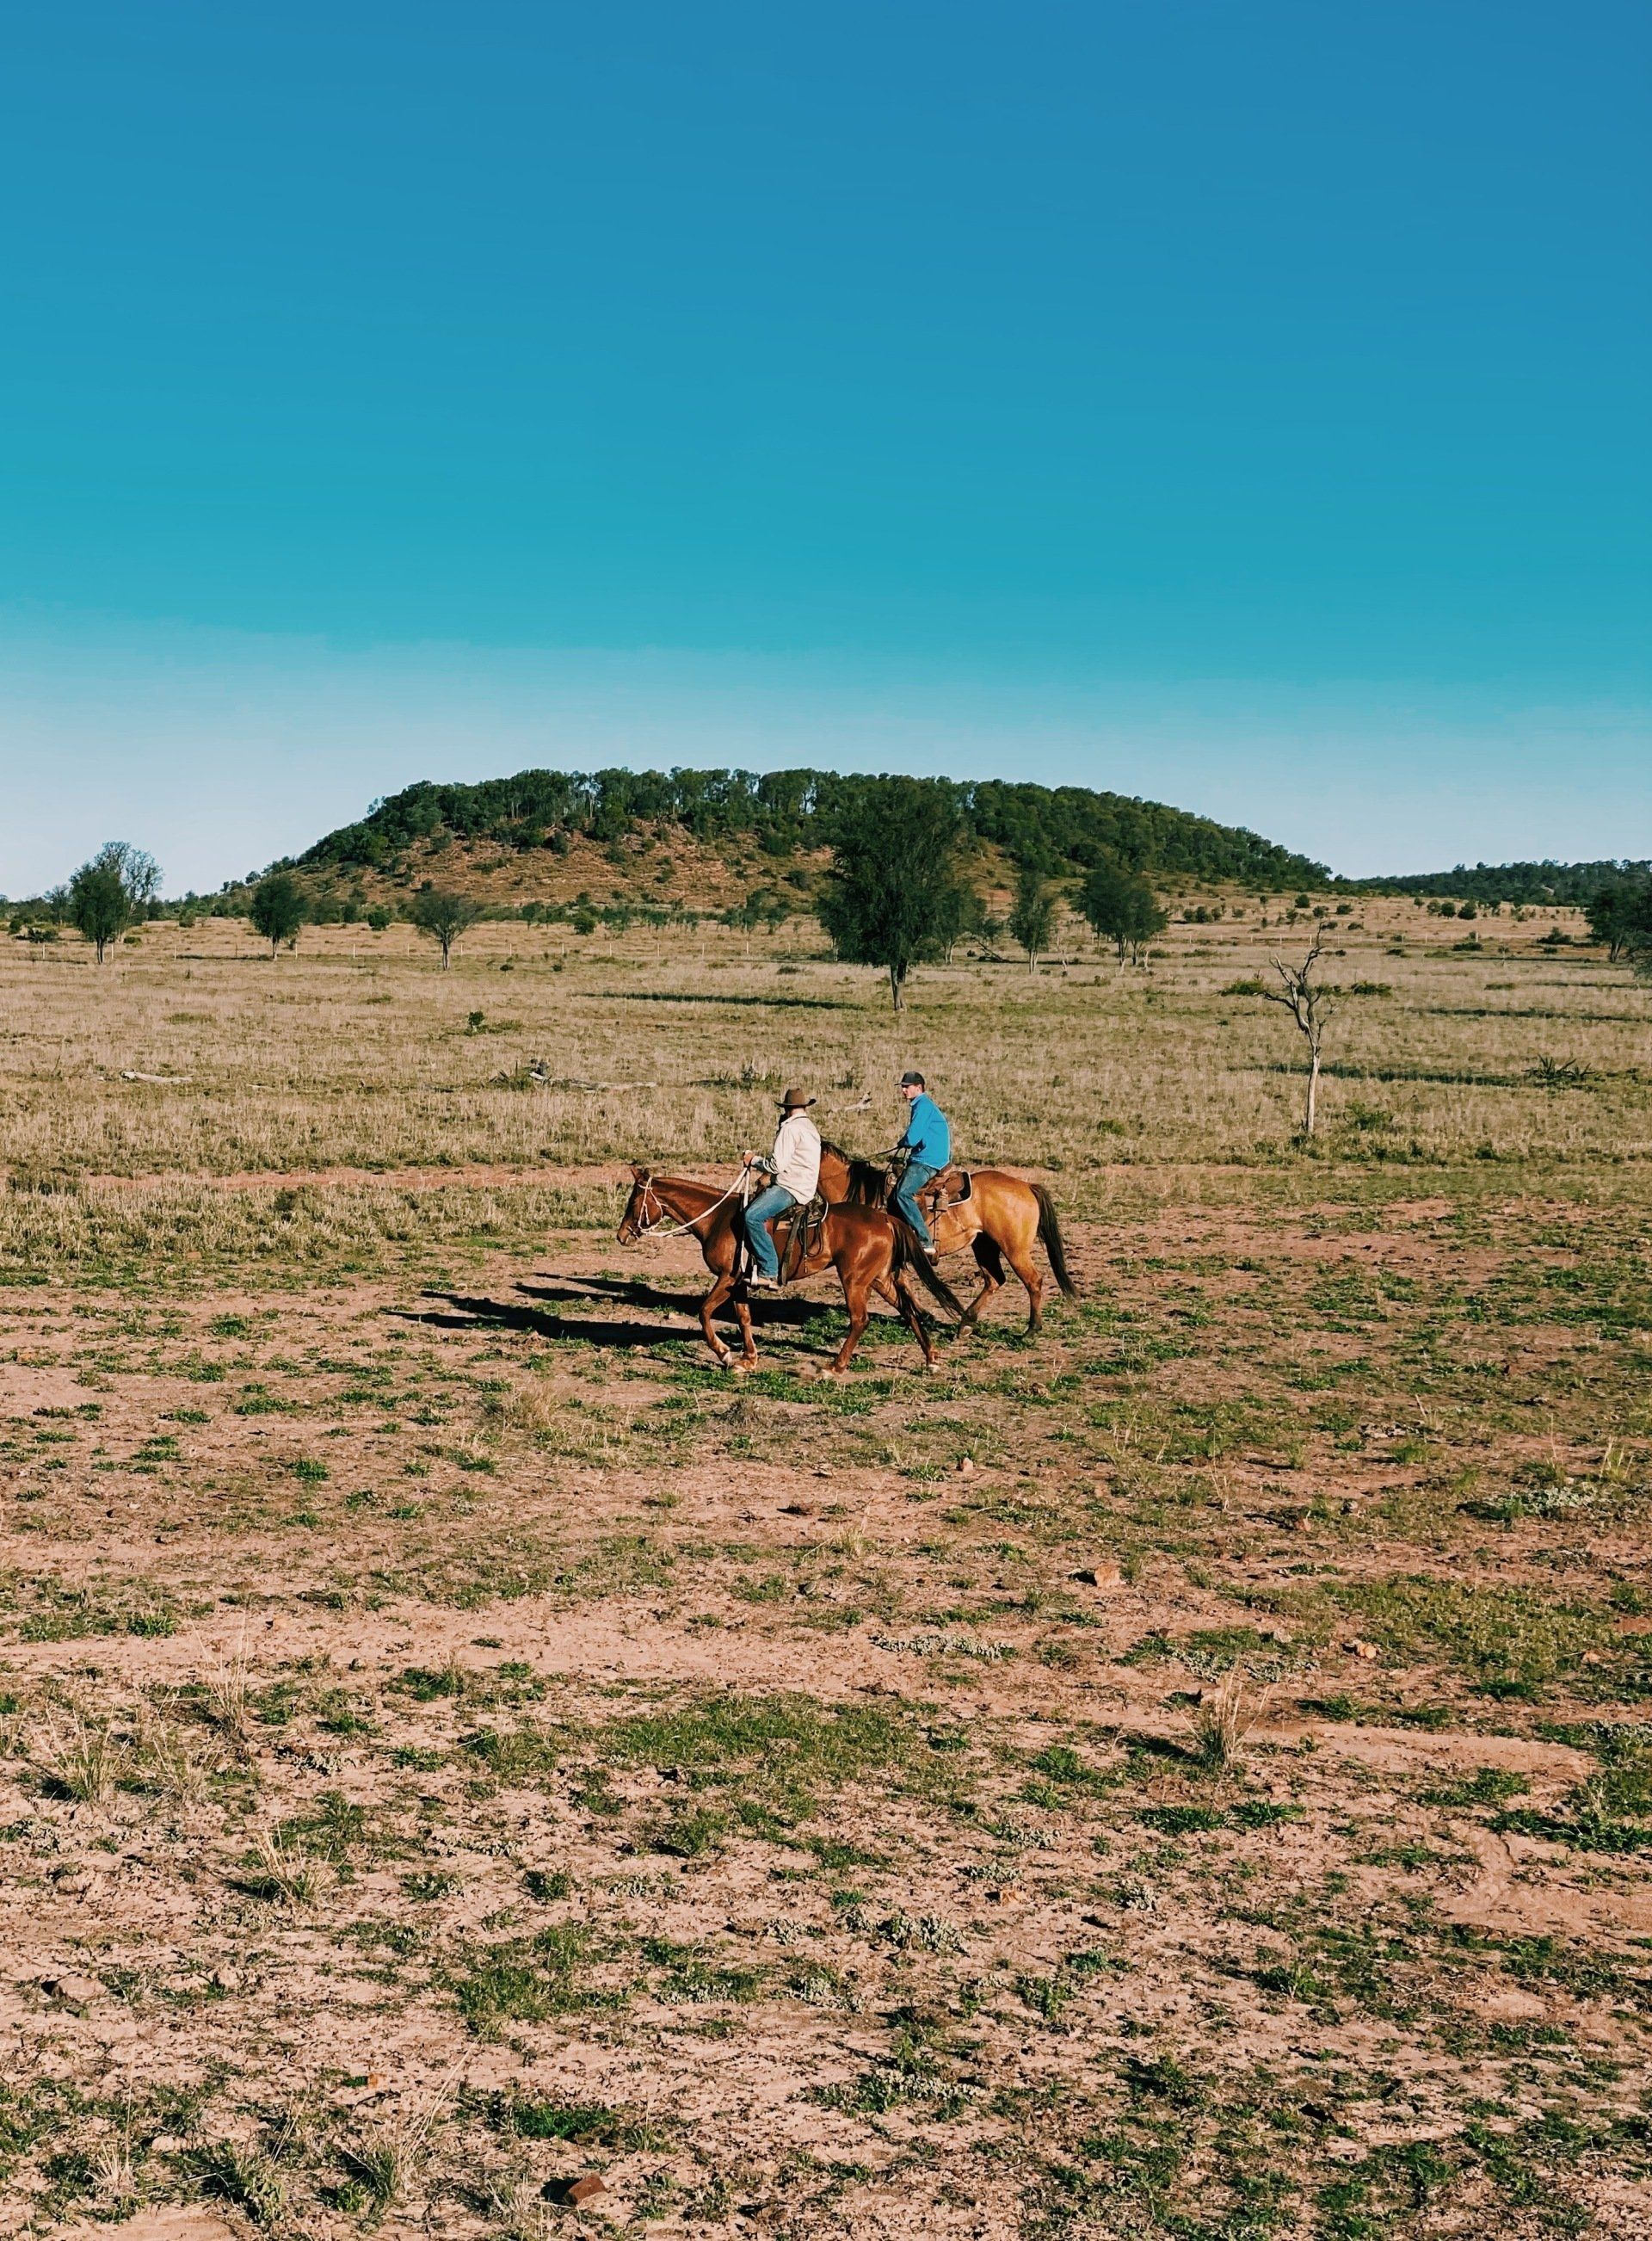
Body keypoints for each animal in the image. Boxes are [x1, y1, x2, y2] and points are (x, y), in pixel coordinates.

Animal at [616, 1167, 967, 1375]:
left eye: (633, 1202)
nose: (621, 1235)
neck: (717, 1219)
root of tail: (885, 1218)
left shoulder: (727, 1278)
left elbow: (703, 1313)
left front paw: (726, 1355)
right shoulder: (740, 1282)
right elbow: (744, 1317)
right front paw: (748, 1359)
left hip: (854, 1280)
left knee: (860, 1319)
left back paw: (834, 1367)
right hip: (879, 1279)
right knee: (908, 1310)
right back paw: (931, 1358)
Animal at [816, 1140, 1076, 1333]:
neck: (865, 1195)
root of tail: (1026, 1185)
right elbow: (901, 1284)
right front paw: (924, 1315)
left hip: (1015, 1250)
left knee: (1033, 1281)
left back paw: (1031, 1329)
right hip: (984, 1246)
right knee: (994, 1280)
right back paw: (966, 1323)